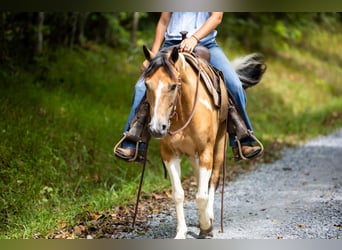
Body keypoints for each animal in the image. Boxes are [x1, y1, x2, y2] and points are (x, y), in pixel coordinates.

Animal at [142, 44, 264, 238]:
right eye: (147, 84)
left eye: (173, 86)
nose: (156, 128)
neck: (183, 112)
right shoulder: (169, 154)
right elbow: (178, 194)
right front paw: (181, 232)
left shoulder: (206, 151)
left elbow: (201, 195)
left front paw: (206, 226)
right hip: (193, 155)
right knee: (201, 180)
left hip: (218, 148)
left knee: (212, 181)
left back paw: (209, 217)